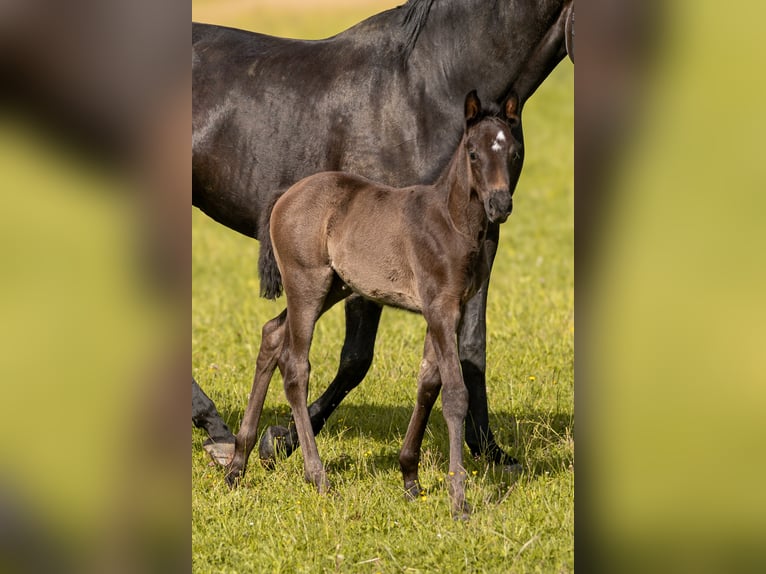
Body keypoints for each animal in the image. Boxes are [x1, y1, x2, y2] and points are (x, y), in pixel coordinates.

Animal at [193, 0, 574, 467]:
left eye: (515, 152)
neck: (426, 86)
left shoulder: (477, 249)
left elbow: (471, 348)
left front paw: (489, 449)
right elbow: (356, 358)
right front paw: (282, 439)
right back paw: (217, 429)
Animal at [227, 91, 522, 519]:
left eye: (513, 151)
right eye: (472, 152)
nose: (500, 204)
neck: (451, 221)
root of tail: (286, 195)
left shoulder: (445, 310)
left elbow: (427, 382)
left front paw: (411, 479)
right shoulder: (441, 308)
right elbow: (454, 393)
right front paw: (458, 500)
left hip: (335, 286)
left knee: (271, 333)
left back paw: (238, 462)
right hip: (306, 283)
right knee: (296, 366)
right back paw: (317, 477)